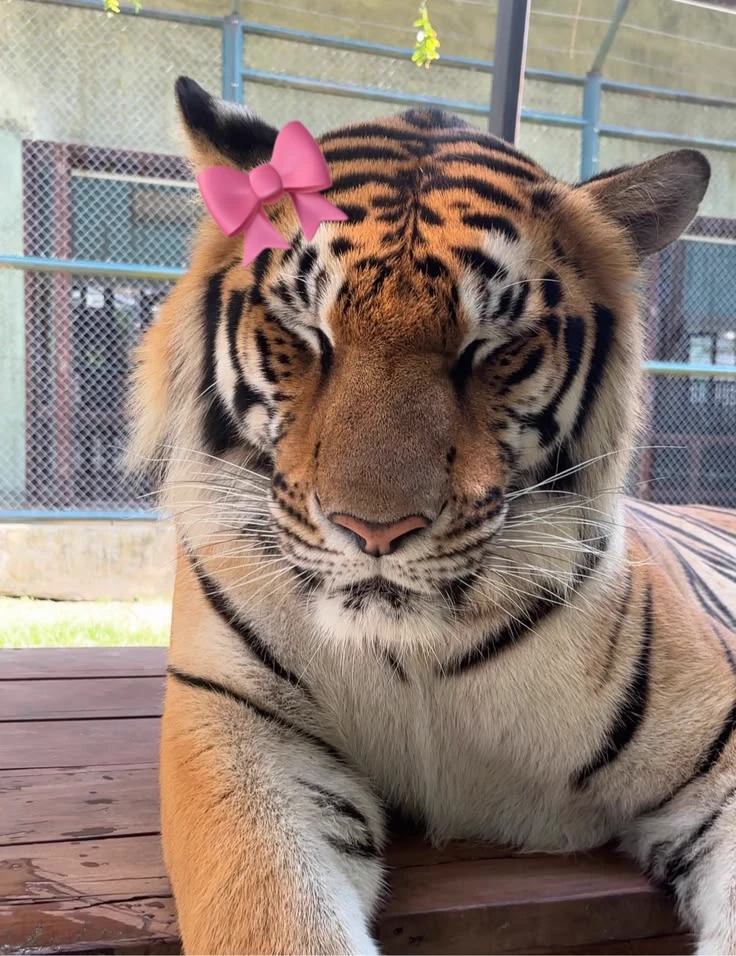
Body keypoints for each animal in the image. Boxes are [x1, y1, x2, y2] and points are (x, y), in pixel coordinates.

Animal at [127, 75, 736, 955]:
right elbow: (270, 906)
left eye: (494, 347)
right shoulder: (238, 724)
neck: (412, 653)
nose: (375, 532)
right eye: (307, 332)